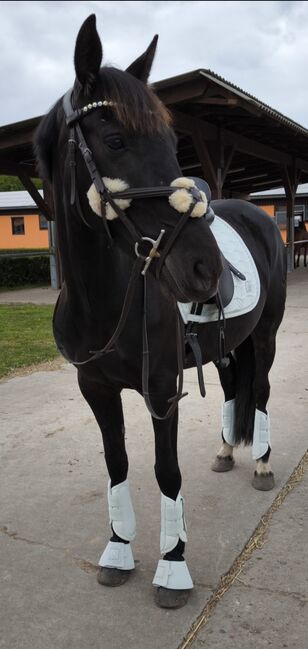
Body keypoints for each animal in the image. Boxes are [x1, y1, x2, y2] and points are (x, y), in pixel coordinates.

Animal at [35, 15, 286, 608]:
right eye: (115, 139)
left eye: (174, 143)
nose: (205, 268)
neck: (105, 304)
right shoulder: (95, 387)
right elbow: (118, 464)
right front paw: (117, 550)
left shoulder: (161, 388)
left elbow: (165, 471)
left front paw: (173, 567)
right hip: (224, 346)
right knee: (234, 388)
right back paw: (226, 451)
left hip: (265, 335)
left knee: (262, 390)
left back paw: (262, 463)